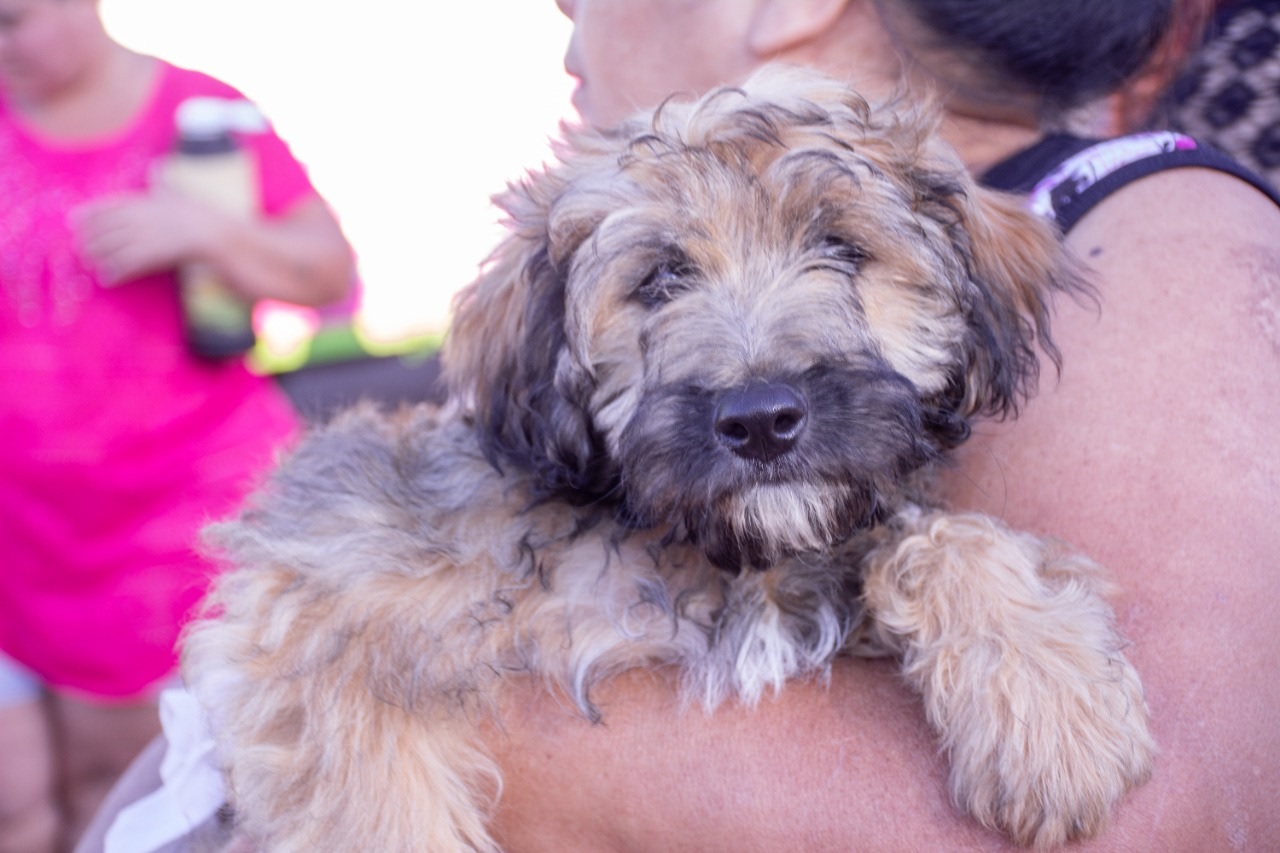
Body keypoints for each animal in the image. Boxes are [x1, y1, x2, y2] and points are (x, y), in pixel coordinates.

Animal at [183, 68, 1162, 850]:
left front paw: (1047, 697)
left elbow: (939, 535)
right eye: (659, 279)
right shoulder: (322, 595)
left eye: (842, 248)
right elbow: (364, 781)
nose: (761, 419)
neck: (707, 553)